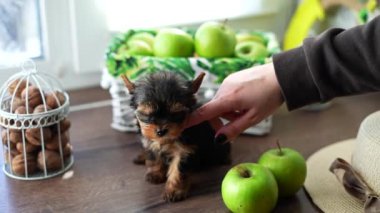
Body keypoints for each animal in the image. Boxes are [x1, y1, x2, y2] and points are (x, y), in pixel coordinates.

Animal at [121, 71, 230, 201]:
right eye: (147, 115)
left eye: (175, 114)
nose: (161, 131)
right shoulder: (150, 142)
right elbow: (153, 156)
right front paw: (155, 173)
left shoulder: (185, 150)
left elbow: (178, 170)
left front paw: (174, 191)